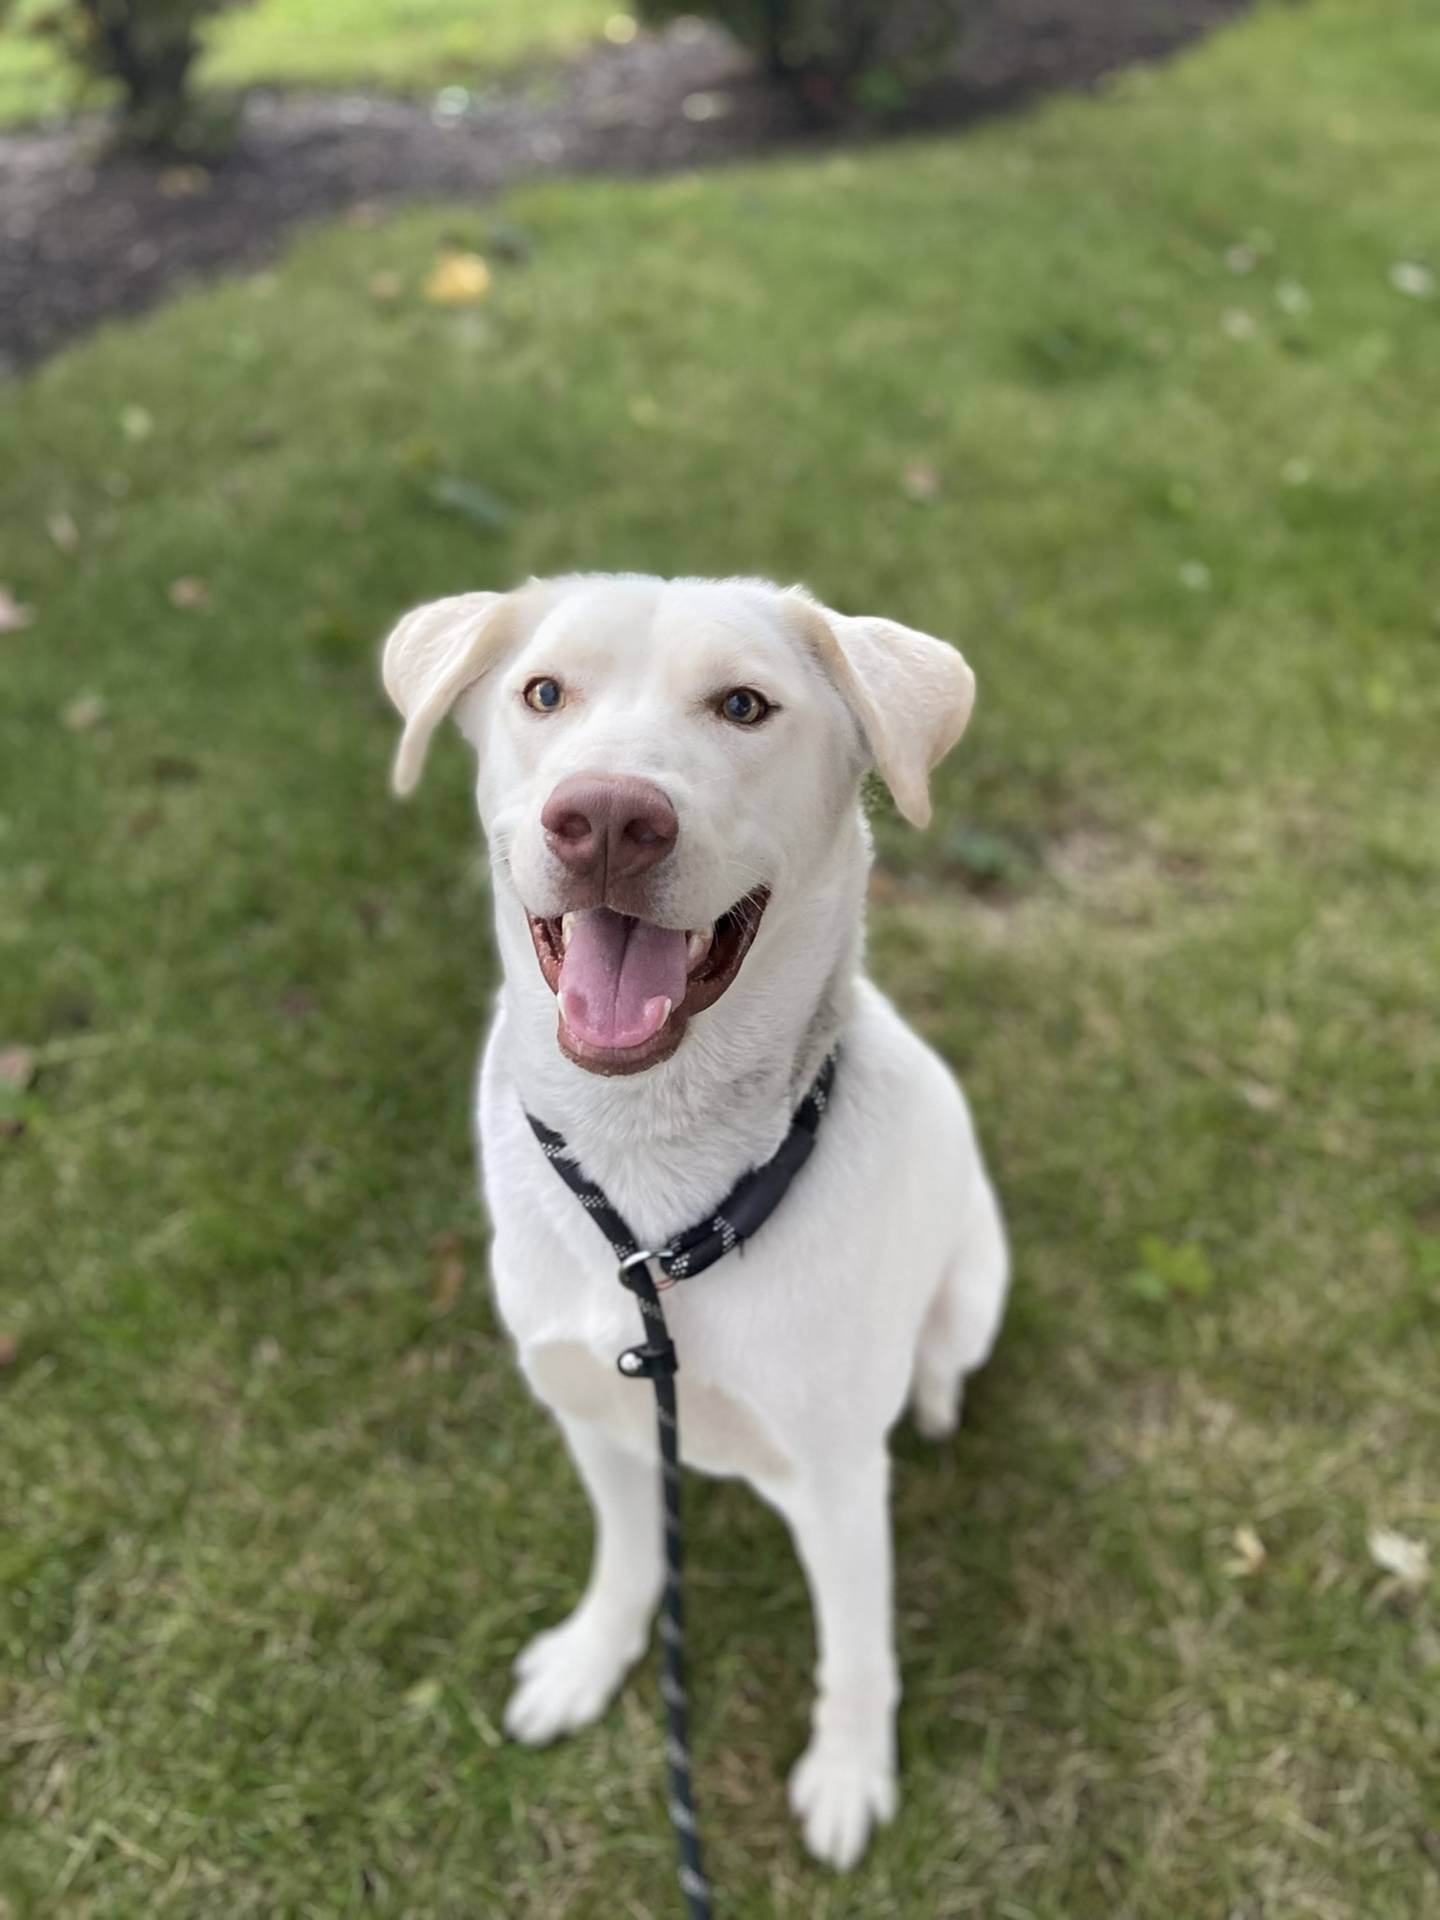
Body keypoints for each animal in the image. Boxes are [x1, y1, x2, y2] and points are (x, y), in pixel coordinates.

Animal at [385, 572, 1013, 1873]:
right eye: (544, 694)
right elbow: (632, 1559)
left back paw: (933, 1397)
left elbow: (858, 1651)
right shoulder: (594, 1413)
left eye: (742, 706)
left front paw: (848, 1773)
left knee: (945, 1354)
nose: (607, 819)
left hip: (975, 1278)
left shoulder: (839, 1483)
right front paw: (592, 1657)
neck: (651, 1194)